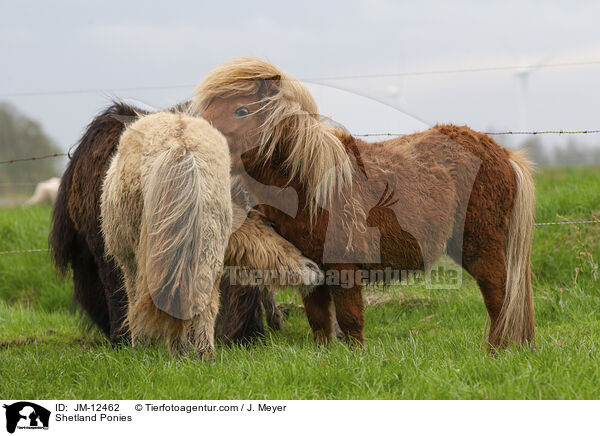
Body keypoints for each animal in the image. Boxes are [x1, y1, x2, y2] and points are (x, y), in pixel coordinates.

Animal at [102, 110, 324, 356]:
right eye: (271, 226)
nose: (314, 269)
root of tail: (181, 146)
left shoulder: (130, 263)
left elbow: (135, 303)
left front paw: (145, 349)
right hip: (206, 249)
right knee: (200, 300)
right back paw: (201, 354)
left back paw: (185, 354)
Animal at [195, 58, 536, 350]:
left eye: (241, 110)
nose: (198, 138)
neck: (310, 184)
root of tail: (502, 154)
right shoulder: (312, 270)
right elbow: (320, 323)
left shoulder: (345, 268)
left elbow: (350, 321)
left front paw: (356, 358)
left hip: (481, 246)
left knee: (499, 298)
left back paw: (497, 352)